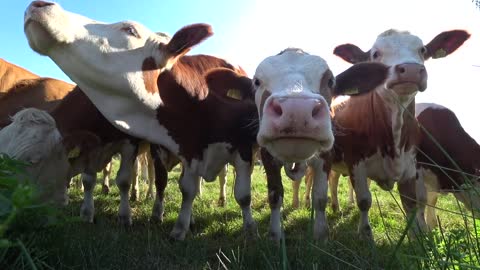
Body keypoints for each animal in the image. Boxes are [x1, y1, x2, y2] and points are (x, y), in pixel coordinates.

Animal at [24, 0, 260, 240]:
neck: (203, 107)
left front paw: (250, 228)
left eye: (130, 30)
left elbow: (243, 195)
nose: (40, 4)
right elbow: (183, 188)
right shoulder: (181, 149)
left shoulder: (242, 149)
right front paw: (178, 226)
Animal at [208, 49, 392, 242]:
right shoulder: (267, 156)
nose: (296, 109)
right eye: (257, 82)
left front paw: (321, 234)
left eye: (330, 81)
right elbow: (275, 195)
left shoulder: (326, 157)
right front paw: (275, 235)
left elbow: (320, 197)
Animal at [326, 29, 468, 240]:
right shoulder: (355, 162)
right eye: (375, 54)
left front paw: (416, 237)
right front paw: (365, 235)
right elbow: (364, 201)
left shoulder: (410, 167)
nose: (410, 69)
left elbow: (411, 204)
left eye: (422, 50)